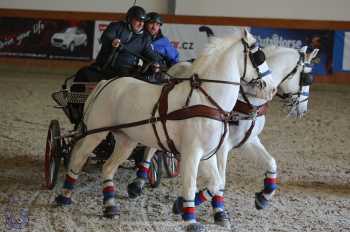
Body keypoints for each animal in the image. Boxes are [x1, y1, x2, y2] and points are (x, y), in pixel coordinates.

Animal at [55, 29, 276, 231]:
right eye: (259, 56)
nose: (272, 88)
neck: (206, 101)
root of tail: (106, 83)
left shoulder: (208, 153)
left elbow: (217, 183)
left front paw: (179, 206)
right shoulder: (191, 153)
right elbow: (190, 184)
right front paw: (190, 220)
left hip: (126, 140)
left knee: (108, 167)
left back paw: (110, 206)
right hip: (96, 133)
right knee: (78, 158)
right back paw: (64, 196)